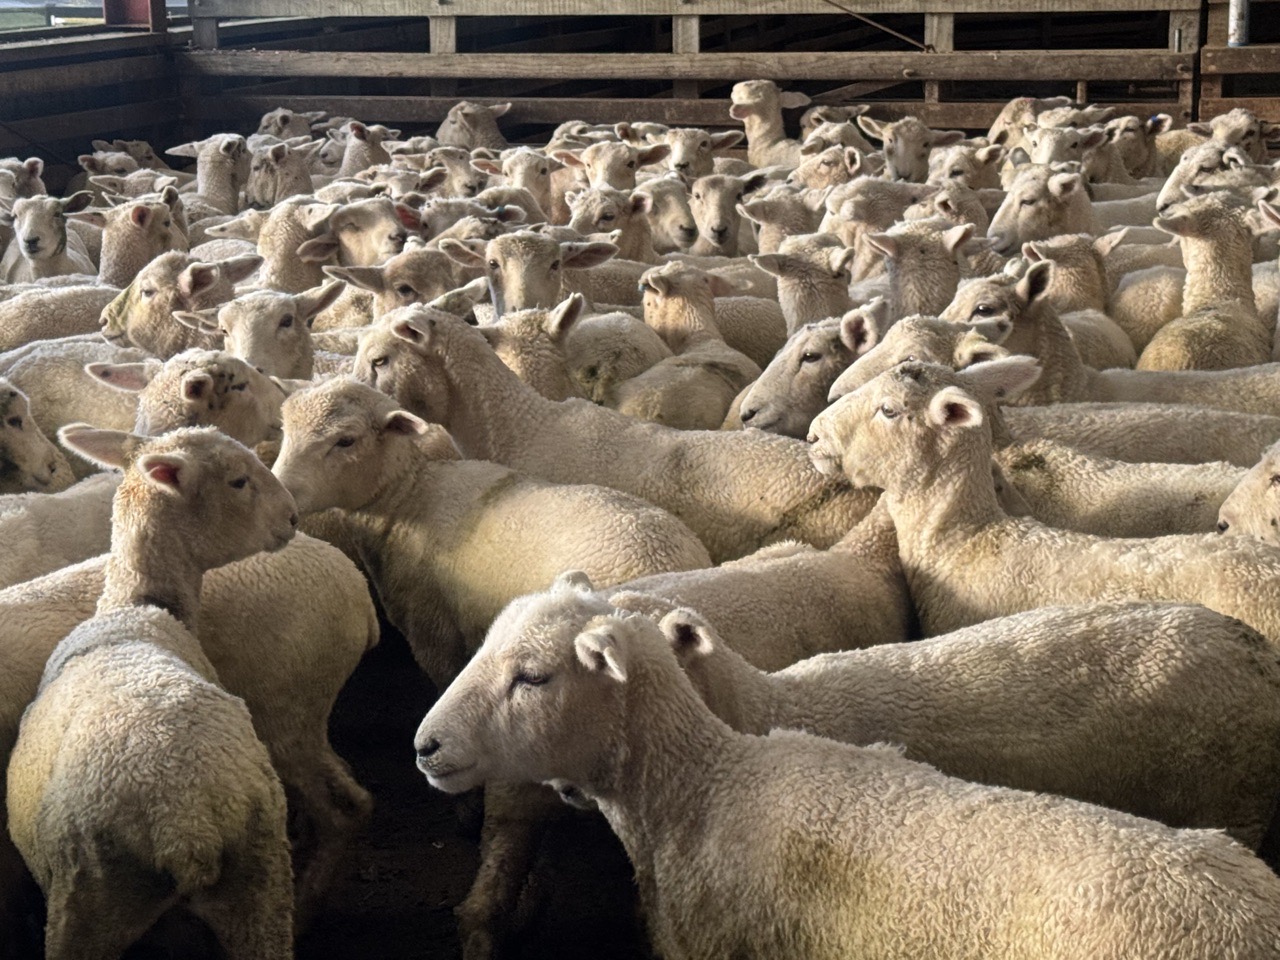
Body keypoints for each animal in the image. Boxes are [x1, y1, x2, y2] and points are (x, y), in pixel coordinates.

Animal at [7, 426, 298, 960]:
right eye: (238, 481)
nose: (293, 518)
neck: (140, 607)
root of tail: (186, 821)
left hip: (88, 902)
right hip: (260, 886)